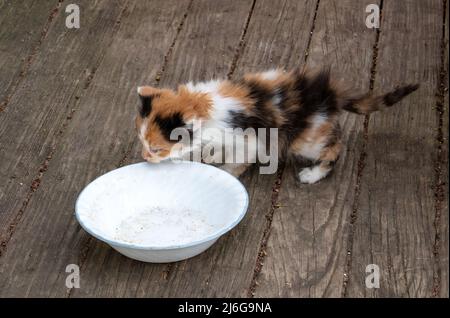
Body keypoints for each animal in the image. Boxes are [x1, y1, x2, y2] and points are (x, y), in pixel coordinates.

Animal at [135, 69, 420, 184]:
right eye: (143, 144)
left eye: (157, 149)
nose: (145, 158)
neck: (200, 102)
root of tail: (327, 95)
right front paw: (212, 154)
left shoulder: (248, 141)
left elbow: (237, 161)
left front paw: (225, 173)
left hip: (306, 141)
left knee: (336, 147)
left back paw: (313, 174)